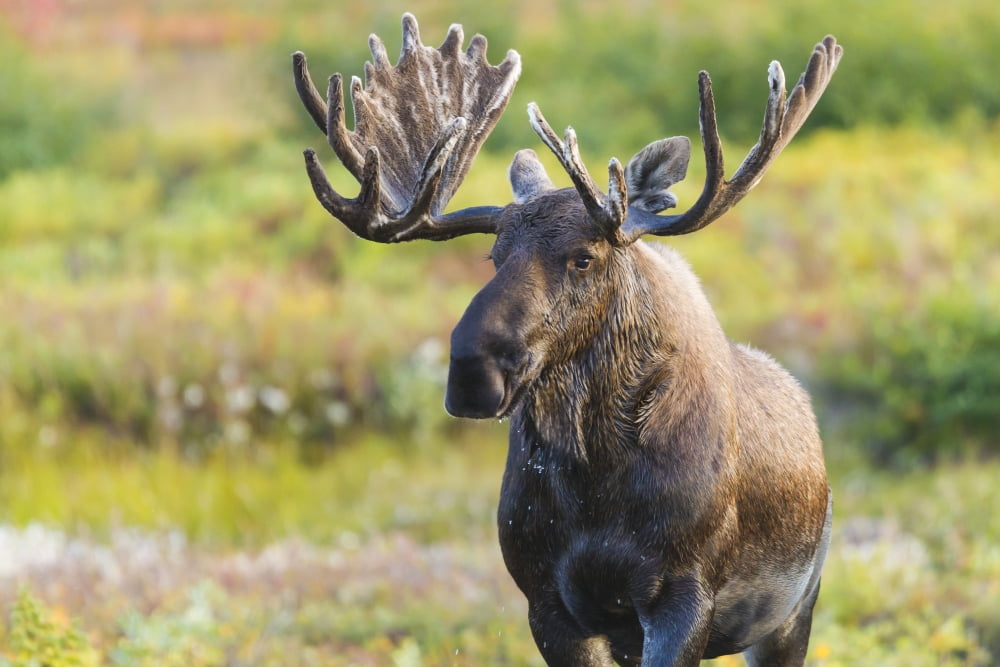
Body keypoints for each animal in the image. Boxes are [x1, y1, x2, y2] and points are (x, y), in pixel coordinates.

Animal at [292, 14, 841, 666]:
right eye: (493, 254)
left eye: (584, 257)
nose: (473, 370)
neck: (595, 480)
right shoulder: (547, 600)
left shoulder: (685, 592)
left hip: (792, 611)